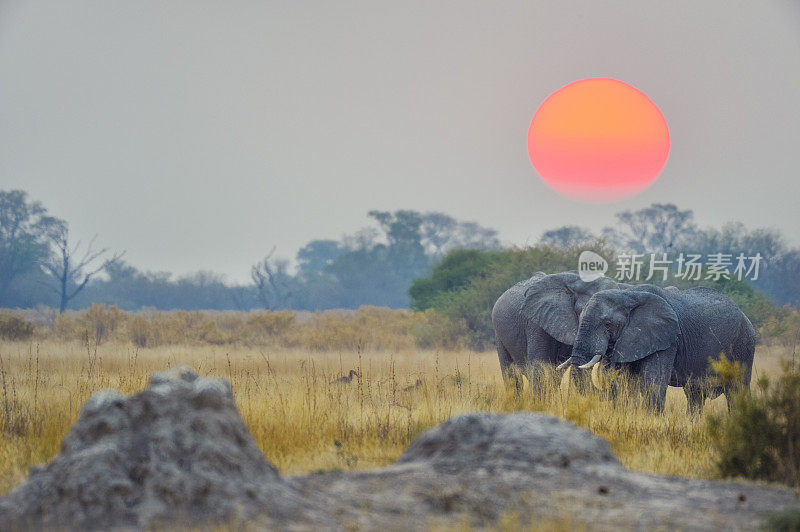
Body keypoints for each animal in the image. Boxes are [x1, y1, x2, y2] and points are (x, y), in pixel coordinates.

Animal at [560, 284, 752, 414]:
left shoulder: (668, 338)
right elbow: (624, 379)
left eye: (608, 324)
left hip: (743, 345)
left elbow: (653, 380)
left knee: (736, 391)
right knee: (695, 395)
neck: (629, 294)